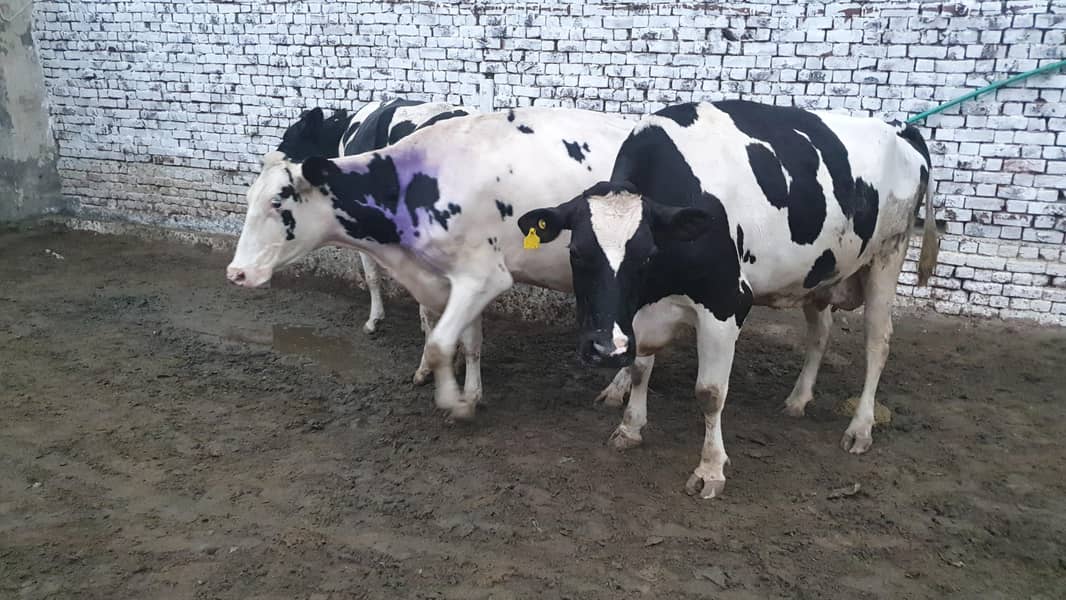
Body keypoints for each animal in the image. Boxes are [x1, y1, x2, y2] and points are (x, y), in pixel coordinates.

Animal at [518, 100, 938, 499]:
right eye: (576, 252)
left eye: (647, 254)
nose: (605, 349)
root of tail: (901, 127)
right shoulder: (640, 311)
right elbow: (639, 367)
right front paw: (630, 428)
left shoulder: (726, 304)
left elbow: (710, 393)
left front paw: (710, 470)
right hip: (819, 272)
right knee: (820, 333)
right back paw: (798, 400)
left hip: (888, 255)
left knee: (877, 343)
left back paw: (860, 427)